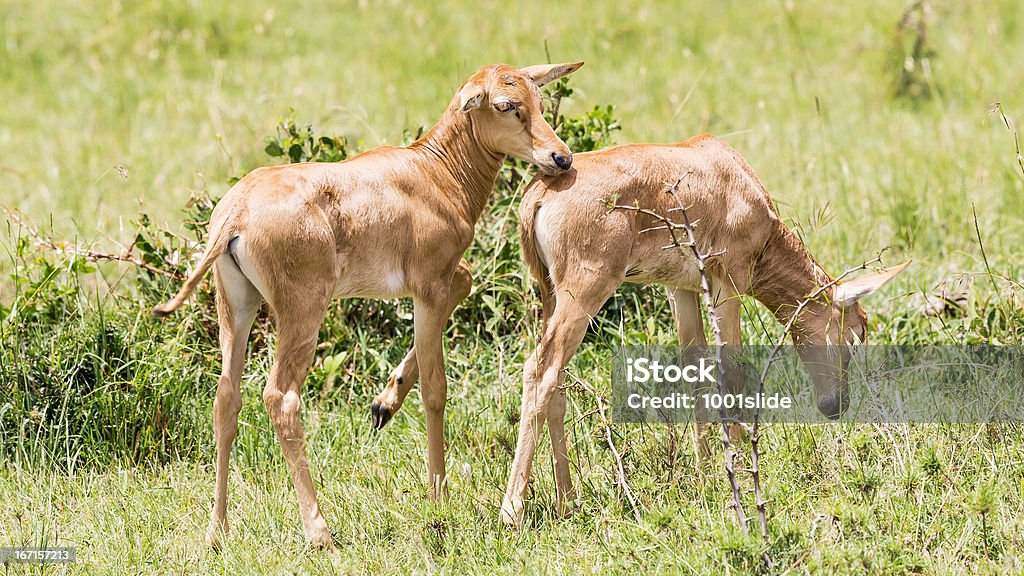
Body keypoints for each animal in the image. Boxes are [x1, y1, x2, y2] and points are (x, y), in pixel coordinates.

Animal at [151, 60, 585, 545]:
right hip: (303, 311)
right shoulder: (428, 289)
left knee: (226, 399)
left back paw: (217, 532)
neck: (429, 171)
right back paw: (320, 533)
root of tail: (237, 212)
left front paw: (384, 403)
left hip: (236, 306)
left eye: (539, 100)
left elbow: (466, 282)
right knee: (281, 397)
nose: (561, 158)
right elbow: (436, 389)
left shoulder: (434, 284)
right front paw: (440, 498)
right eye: (506, 105)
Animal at [499, 134, 909, 524]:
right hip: (585, 291)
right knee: (541, 370)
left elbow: (694, 368)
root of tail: (538, 194)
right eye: (856, 335)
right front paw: (741, 459)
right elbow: (732, 368)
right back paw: (512, 511)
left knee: (557, 382)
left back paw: (568, 502)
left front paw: (705, 468)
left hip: (549, 293)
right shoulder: (727, 283)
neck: (729, 172)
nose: (836, 405)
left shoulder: (680, 289)